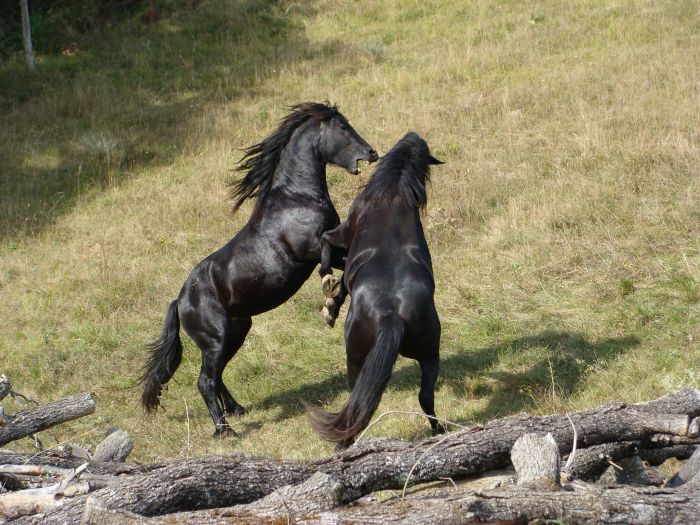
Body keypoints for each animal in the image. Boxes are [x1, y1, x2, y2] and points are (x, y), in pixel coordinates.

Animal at [141, 101, 378, 434]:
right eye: (342, 127)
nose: (371, 153)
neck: (295, 198)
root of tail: (180, 301)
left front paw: (331, 307)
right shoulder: (310, 251)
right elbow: (335, 263)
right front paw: (329, 298)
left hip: (235, 331)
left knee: (216, 376)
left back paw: (237, 410)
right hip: (217, 338)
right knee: (205, 381)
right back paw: (225, 430)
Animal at [306, 131, 442, 446]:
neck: (392, 192)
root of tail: (392, 315)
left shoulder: (342, 234)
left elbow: (327, 245)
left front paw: (328, 291)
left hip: (356, 360)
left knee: (355, 405)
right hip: (431, 354)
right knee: (425, 396)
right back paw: (439, 431)